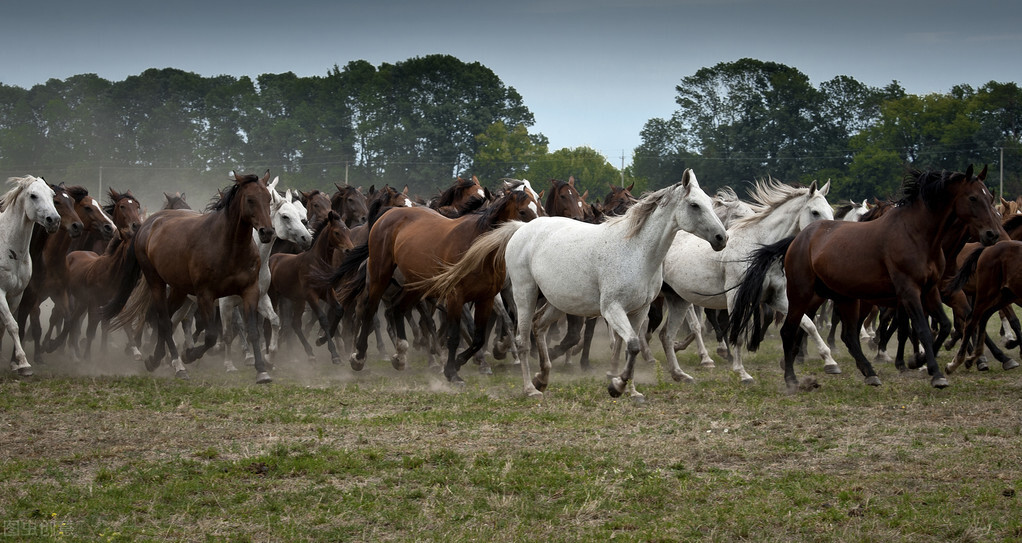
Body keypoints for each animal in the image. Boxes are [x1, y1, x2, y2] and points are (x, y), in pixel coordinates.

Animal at [0, 175, 59, 376]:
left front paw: (17, 364)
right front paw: (24, 364)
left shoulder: (16, 295)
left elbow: (7, 326)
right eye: (33, 195)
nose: (54, 220)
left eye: (52, 195)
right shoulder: (0, 293)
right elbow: (12, 325)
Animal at [102, 169, 275, 382]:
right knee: (164, 320)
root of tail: (147, 225)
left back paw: (155, 359)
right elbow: (210, 336)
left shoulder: (250, 290)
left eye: (268, 199)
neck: (229, 246)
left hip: (179, 289)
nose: (267, 232)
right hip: (156, 282)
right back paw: (177, 365)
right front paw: (189, 354)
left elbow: (252, 331)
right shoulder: (206, 295)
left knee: (166, 320)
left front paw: (262, 370)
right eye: (250, 199)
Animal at [333, 185, 543, 380]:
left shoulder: (487, 297)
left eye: (538, 206)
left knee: (397, 309)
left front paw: (459, 362)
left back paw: (400, 355)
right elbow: (454, 335)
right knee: (369, 311)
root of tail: (387, 215)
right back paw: (359, 357)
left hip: (416, 286)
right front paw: (452, 372)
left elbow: (479, 337)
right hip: (380, 275)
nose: (537, 234)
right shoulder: (455, 296)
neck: (478, 247)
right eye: (522, 211)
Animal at [654, 177, 838, 382]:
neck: (758, 251)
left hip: (677, 298)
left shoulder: (777, 298)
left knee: (666, 333)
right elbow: (738, 334)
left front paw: (829, 361)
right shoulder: (736, 298)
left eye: (831, 211)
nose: (829, 241)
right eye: (815, 212)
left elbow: (808, 324)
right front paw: (741, 372)